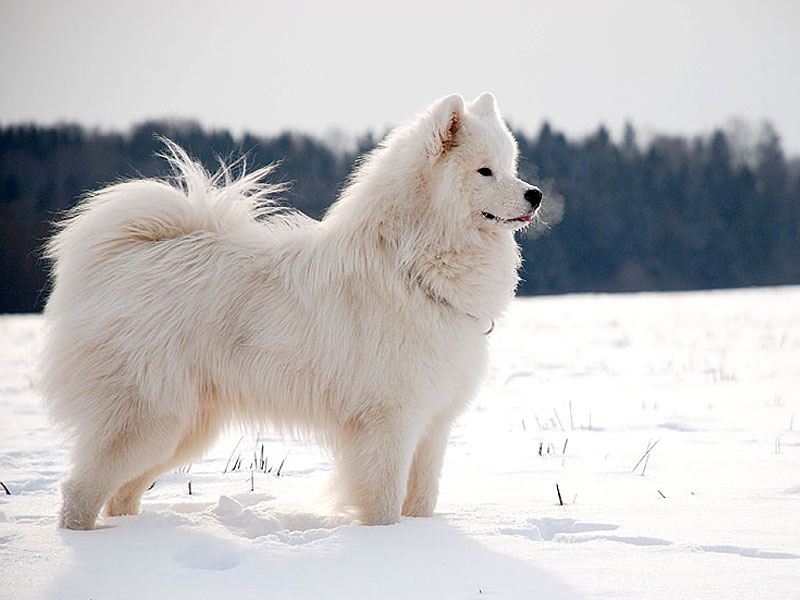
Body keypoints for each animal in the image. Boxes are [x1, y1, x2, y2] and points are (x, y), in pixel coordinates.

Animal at [42, 91, 544, 528]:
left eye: (510, 167)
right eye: (484, 171)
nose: (536, 194)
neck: (409, 265)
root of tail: (124, 258)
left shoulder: (433, 424)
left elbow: (422, 498)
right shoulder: (388, 423)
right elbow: (384, 501)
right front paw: (385, 543)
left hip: (184, 428)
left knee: (122, 494)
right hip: (150, 420)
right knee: (80, 491)